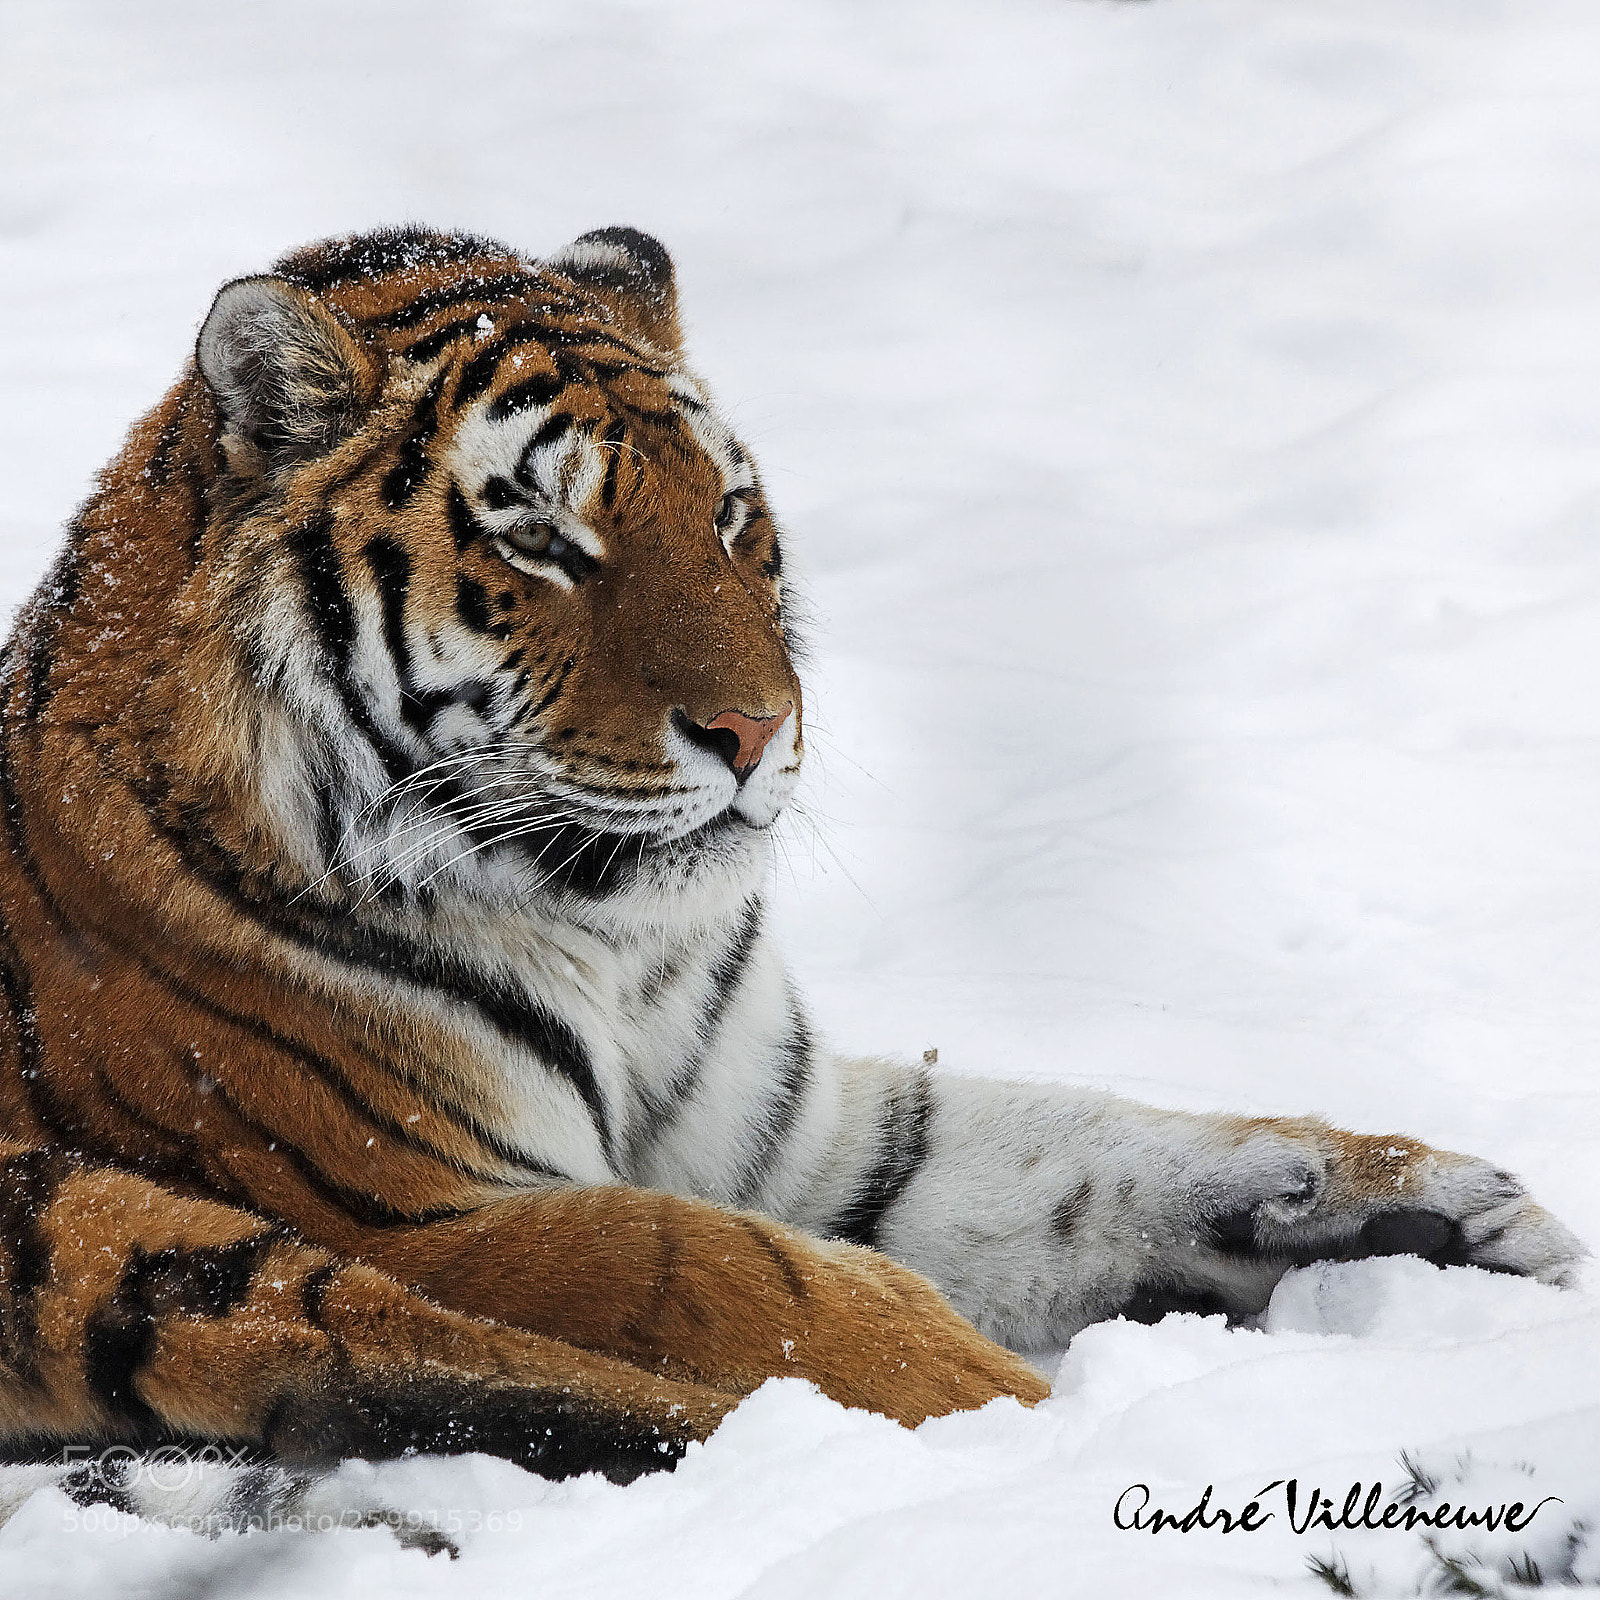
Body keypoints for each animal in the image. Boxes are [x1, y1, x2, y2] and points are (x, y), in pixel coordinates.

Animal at [0, 224, 1581, 1489]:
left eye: (725, 515)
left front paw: (1439, 1204)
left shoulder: (792, 1135)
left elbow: (1083, 1148)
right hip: (106, 1223)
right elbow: (711, 1270)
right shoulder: (396, 1202)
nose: (758, 729)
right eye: (541, 537)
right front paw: (1004, 1418)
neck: (613, 944)